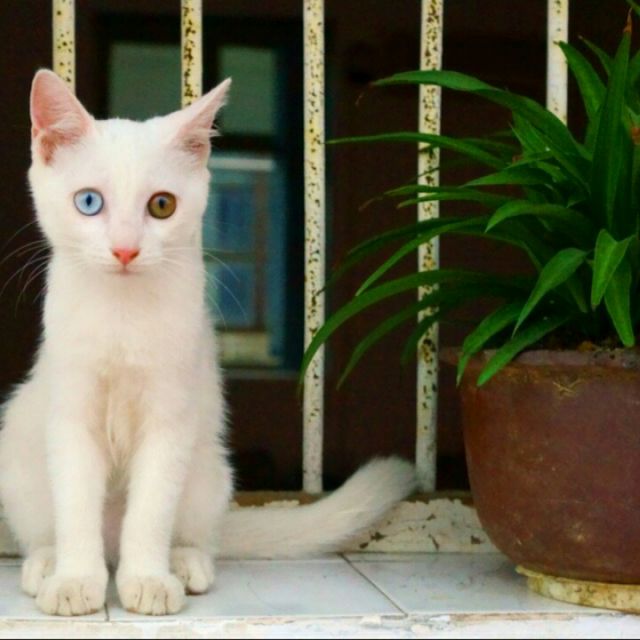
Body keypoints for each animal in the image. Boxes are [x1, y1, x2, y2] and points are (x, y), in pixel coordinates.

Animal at [0, 69, 417, 617]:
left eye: (162, 205)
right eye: (89, 202)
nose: (126, 249)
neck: (123, 314)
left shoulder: (171, 418)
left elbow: (151, 510)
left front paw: (148, 579)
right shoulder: (72, 413)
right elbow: (76, 504)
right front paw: (75, 581)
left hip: (208, 469)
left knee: (190, 531)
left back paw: (184, 562)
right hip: (18, 456)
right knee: (49, 525)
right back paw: (47, 561)